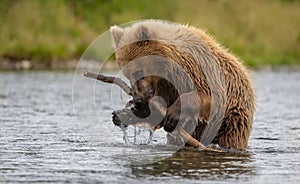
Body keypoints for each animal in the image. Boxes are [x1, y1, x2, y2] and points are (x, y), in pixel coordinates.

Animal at [110, 19, 255, 150]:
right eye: (126, 74)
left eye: (138, 72)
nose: (138, 98)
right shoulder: (166, 86)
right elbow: (156, 113)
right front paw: (124, 114)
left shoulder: (201, 72)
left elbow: (210, 96)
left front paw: (173, 115)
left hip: (232, 119)